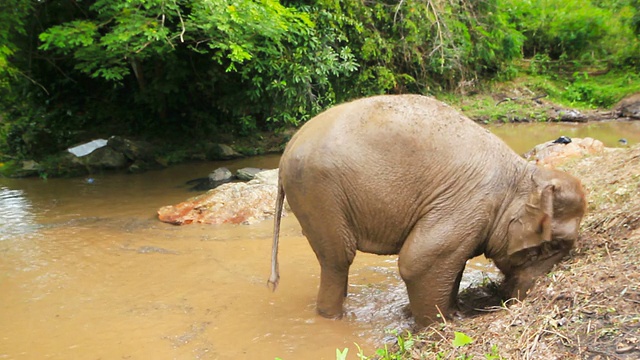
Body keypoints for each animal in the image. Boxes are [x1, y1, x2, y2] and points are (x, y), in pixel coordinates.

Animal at [268, 95, 588, 326]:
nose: (515, 299)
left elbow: (449, 262)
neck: (521, 174)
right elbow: (419, 261)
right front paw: (437, 327)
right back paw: (332, 318)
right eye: (555, 245)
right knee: (337, 259)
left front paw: (452, 312)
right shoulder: (470, 203)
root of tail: (288, 148)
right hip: (318, 192)